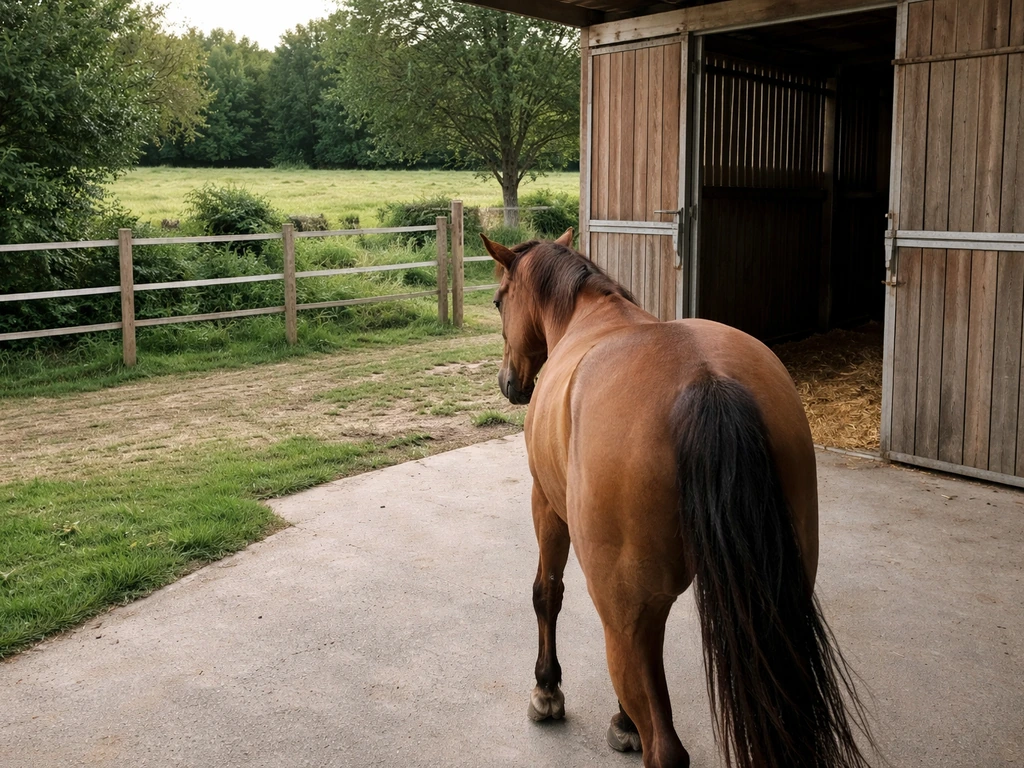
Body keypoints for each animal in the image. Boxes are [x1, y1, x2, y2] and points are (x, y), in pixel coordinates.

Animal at [481, 229, 874, 768]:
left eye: (499, 301)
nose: (510, 384)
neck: (589, 315)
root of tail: (706, 382)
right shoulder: (648, 606)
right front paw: (624, 721)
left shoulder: (547, 505)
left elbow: (547, 593)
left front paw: (547, 691)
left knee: (665, 750)